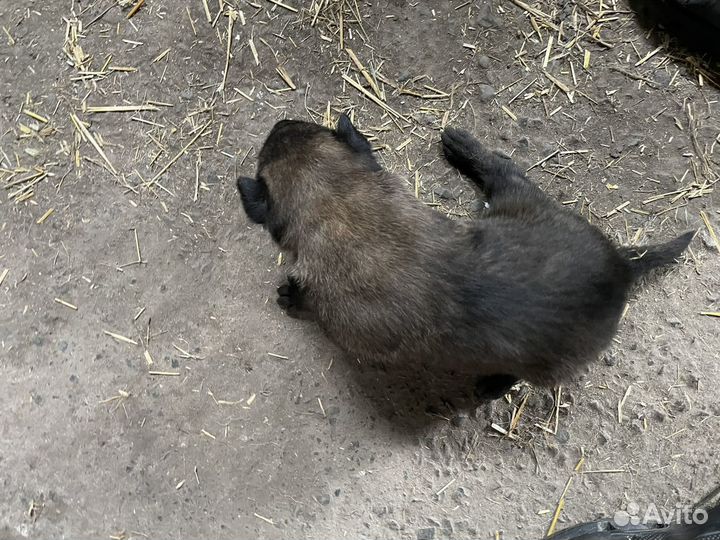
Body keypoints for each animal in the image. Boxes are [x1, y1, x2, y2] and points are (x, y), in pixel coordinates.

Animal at [239, 115, 696, 400]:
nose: (280, 124)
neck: (340, 203)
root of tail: (622, 264)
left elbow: (312, 302)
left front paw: (292, 297)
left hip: (542, 365)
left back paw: (491, 385)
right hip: (522, 201)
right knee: (506, 170)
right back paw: (461, 144)